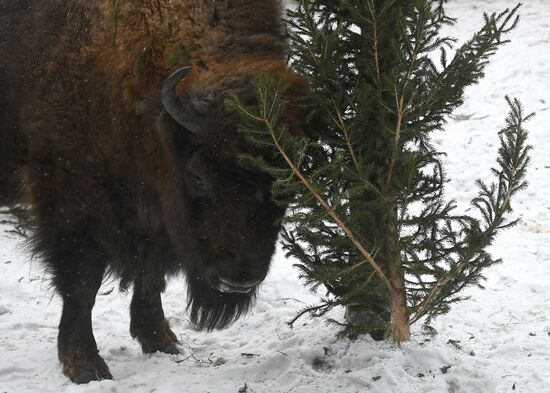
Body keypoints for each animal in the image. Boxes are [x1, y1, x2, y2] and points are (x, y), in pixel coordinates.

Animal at [0, 0, 306, 382]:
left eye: (287, 183)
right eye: (199, 177)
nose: (237, 280)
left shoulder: (154, 209)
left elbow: (151, 272)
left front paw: (160, 340)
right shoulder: (75, 194)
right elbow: (83, 282)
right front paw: (85, 365)